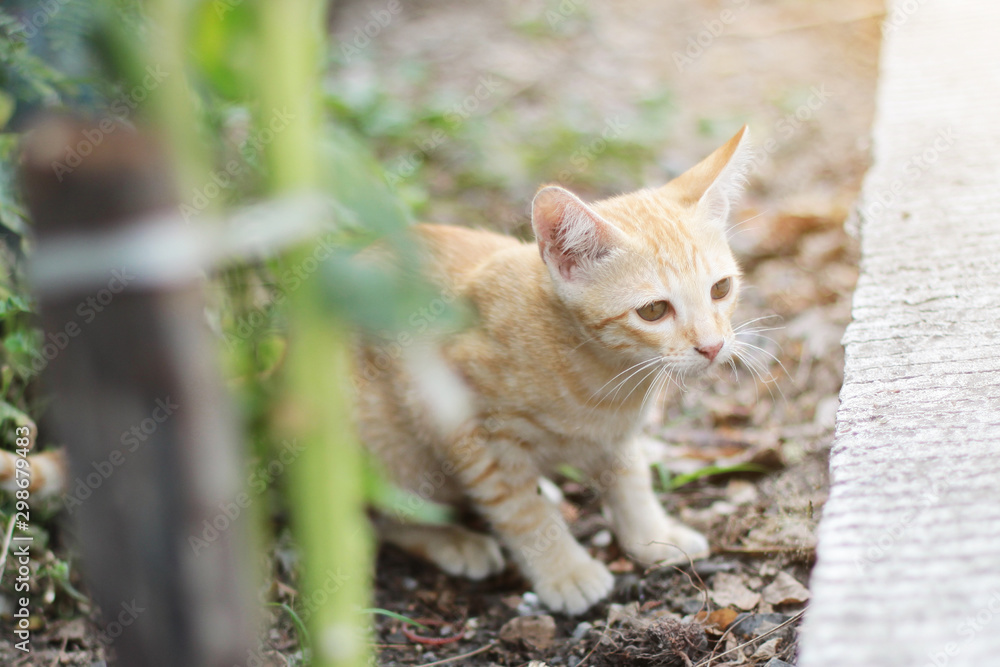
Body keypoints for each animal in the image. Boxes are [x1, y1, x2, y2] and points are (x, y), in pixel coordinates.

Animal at [358, 125, 752, 616]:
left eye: (721, 289)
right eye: (654, 311)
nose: (713, 346)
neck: (603, 377)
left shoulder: (616, 435)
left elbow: (631, 478)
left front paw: (654, 536)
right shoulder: (462, 418)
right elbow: (521, 510)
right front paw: (566, 571)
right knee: (378, 517)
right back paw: (455, 542)